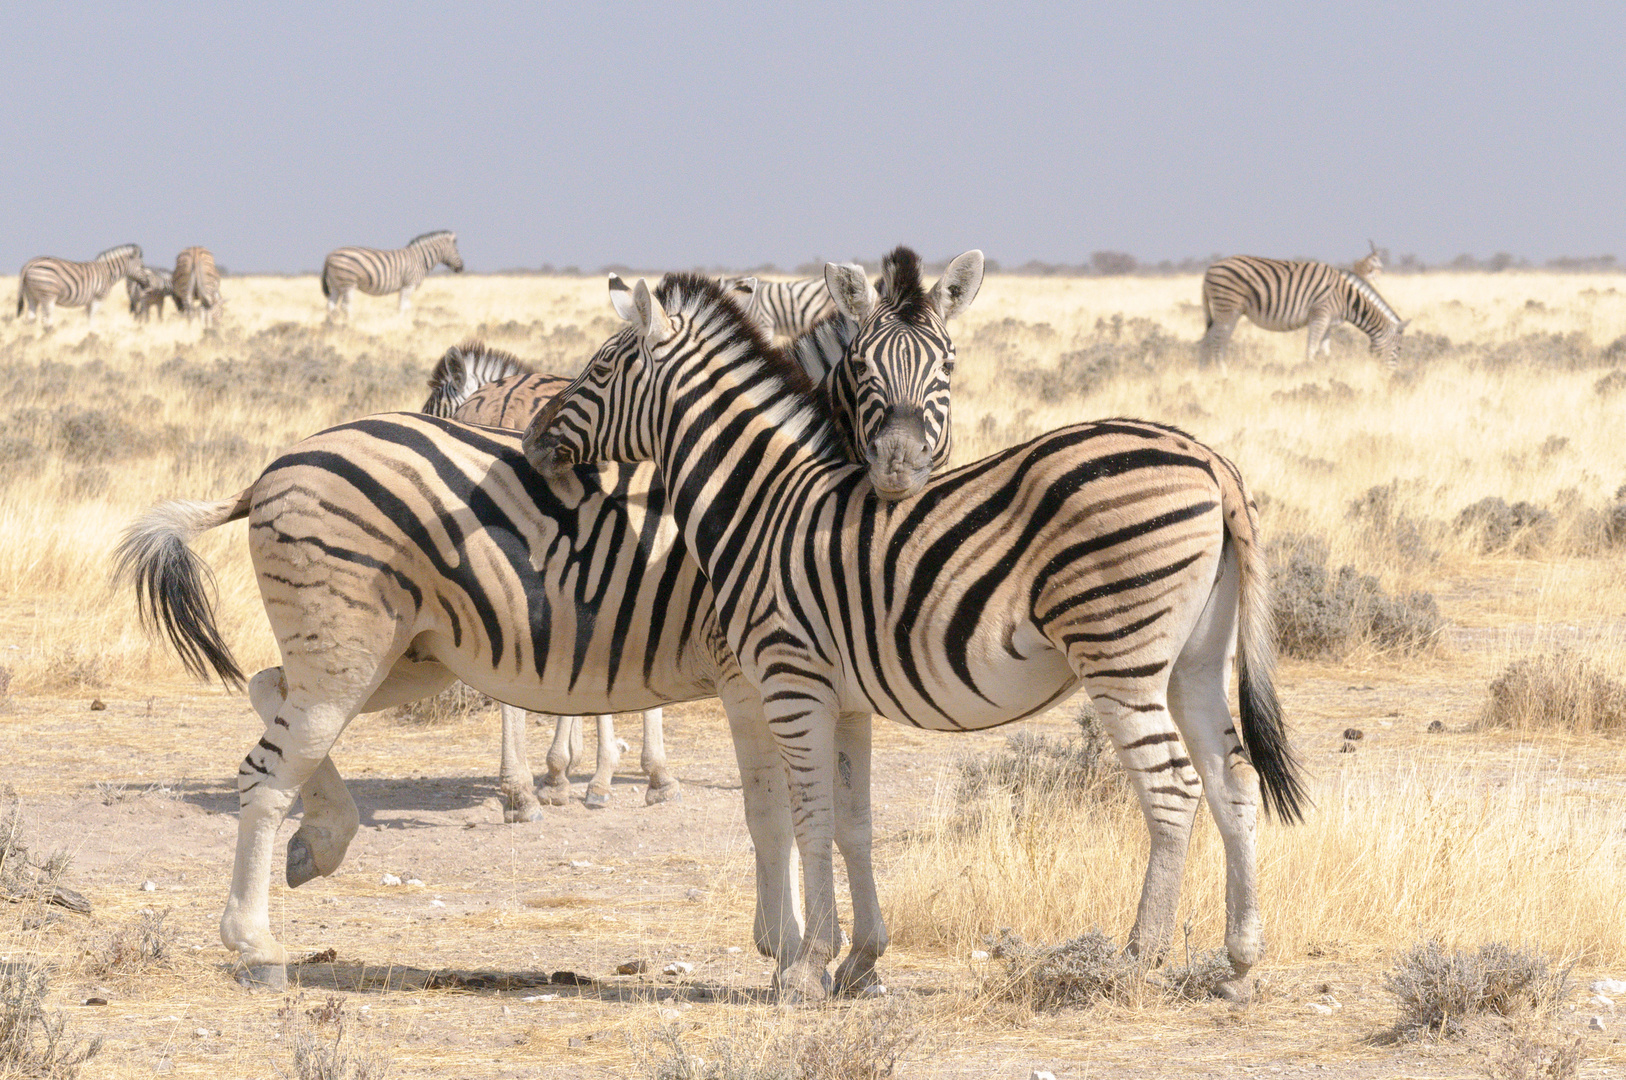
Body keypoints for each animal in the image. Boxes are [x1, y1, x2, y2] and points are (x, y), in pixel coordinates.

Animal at [520, 270, 1307, 1001]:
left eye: (599, 368)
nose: (531, 441)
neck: (762, 504)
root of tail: (1210, 460)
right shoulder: (846, 700)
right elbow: (854, 821)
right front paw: (860, 961)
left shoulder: (790, 682)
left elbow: (808, 817)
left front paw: (805, 968)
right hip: (1195, 662)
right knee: (1232, 780)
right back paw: (1240, 961)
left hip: (1118, 650)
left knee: (1171, 788)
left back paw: (1133, 961)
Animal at [1196, 253, 1411, 369]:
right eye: (1398, 349)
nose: (1391, 375)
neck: (1346, 298)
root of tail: (1209, 269)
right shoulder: (1320, 316)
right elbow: (1311, 350)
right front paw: (1307, 372)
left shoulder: (1329, 324)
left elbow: (1325, 352)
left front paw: (1326, 372)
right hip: (1228, 309)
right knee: (1217, 342)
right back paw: (1222, 373)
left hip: (1224, 311)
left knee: (1207, 339)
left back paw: (1205, 373)